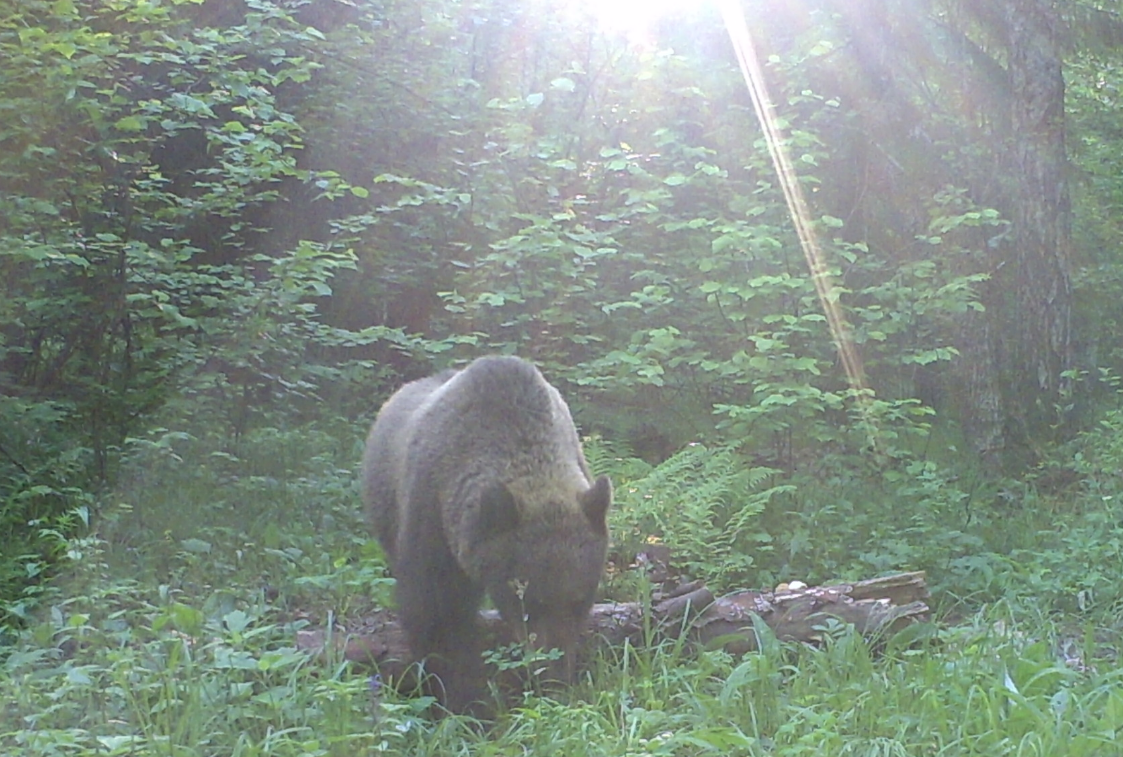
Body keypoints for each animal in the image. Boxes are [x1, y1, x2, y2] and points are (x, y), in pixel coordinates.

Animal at [361, 352, 615, 709]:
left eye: (580, 599)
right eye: (528, 602)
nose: (552, 676)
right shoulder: (432, 512)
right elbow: (436, 615)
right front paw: (461, 698)